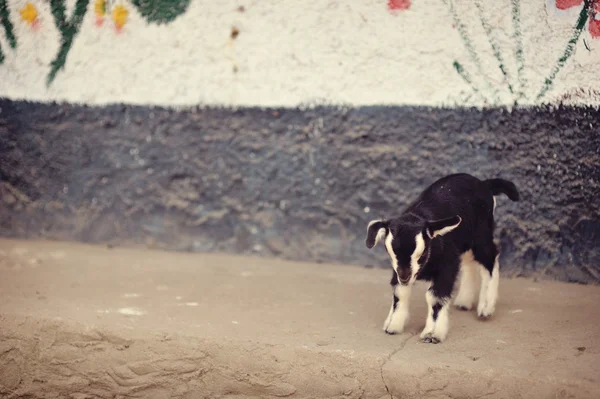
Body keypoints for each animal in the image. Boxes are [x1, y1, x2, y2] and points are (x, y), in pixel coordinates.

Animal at [366, 173, 520, 346]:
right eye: (390, 254)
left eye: (422, 254)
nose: (405, 277)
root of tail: (484, 183)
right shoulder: (398, 270)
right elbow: (400, 292)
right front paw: (393, 325)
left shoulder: (447, 265)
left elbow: (434, 297)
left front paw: (432, 334)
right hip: (464, 241)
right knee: (469, 262)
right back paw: (464, 301)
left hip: (481, 234)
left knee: (489, 257)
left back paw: (486, 307)